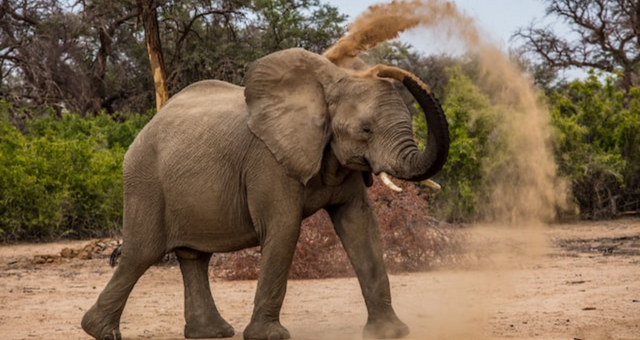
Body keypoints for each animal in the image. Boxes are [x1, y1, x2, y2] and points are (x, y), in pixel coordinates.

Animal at [81, 48, 450, 340]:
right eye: (366, 130)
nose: (384, 69)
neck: (326, 84)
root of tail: (145, 127)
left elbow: (361, 227)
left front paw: (392, 333)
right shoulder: (268, 161)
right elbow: (284, 229)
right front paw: (270, 337)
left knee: (194, 257)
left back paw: (212, 333)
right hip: (145, 181)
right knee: (141, 254)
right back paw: (99, 332)